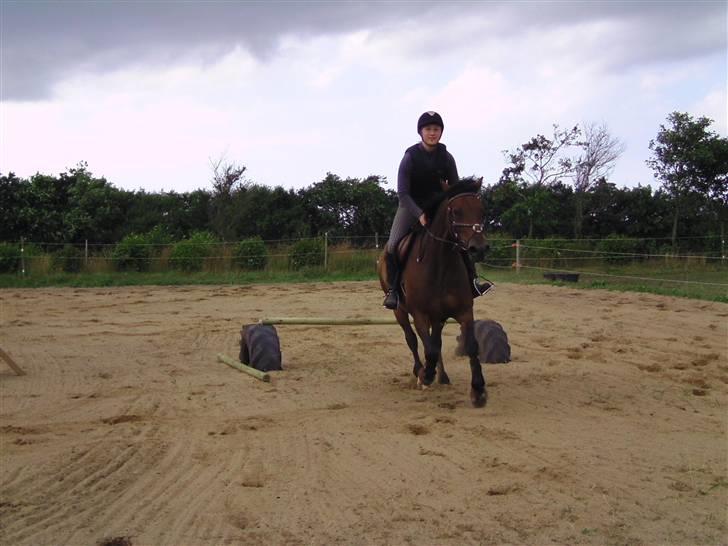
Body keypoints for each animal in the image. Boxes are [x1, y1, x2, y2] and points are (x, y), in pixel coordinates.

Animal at [376, 177, 490, 404]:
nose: (478, 248)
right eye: (456, 211)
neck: (440, 264)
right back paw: (419, 371)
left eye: (482, 211)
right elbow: (428, 349)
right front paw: (425, 375)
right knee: (412, 339)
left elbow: (470, 346)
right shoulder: (419, 314)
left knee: (435, 340)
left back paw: (442, 376)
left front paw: (478, 388)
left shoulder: (464, 312)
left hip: (438, 316)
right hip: (400, 311)